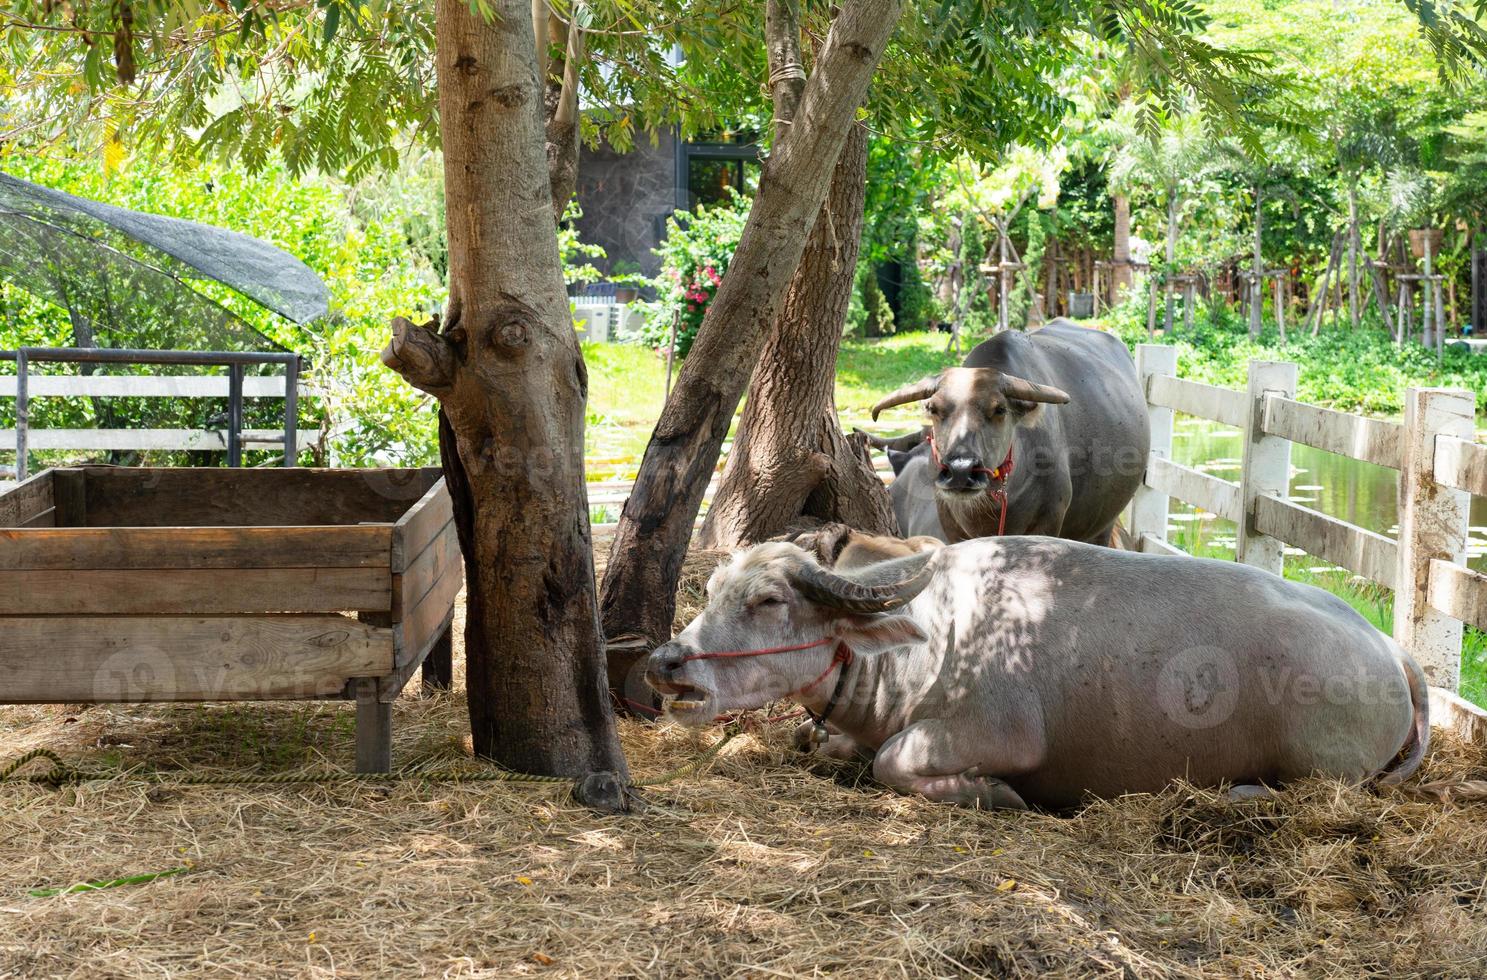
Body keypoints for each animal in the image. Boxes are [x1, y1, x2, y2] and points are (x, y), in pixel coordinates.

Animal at [648, 535, 1427, 814]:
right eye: (710, 589)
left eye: (768, 602)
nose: (665, 663)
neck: (930, 642)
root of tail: (1393, 654)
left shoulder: (999, 733)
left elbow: (892, 761)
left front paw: (998, 794)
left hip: (1319, 772)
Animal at [868, 322, 1142, 547]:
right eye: (934, 409)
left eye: (999, 409)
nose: (960, 470)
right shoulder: (951, 527)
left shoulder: (1049, 522)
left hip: (1104, 524)